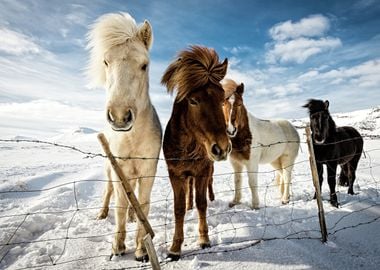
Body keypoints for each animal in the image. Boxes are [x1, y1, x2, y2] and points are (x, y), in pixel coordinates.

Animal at [86, 13, 162, 262]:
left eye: (144, 65)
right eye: (106, 62)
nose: (120, 117)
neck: (132, 138)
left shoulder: (148, 171)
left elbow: (143, 204)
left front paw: (141, 249)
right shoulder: (119, 169)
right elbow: (119, 205)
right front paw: (117, 247)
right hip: (110, 171)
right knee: (109, 193)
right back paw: (102, 214)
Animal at [161, 45, 230, 260]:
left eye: (222, 99)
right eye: (193, 101)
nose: (221, 147)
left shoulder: (202, 171)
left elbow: (202, 203)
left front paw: (204, 239)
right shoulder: (175, 174)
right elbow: (178, 208)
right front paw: (175, 248)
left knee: (209, 186)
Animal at [223, 78, 300, 209]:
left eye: (239, 104)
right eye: (222, 104)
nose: (230, 130)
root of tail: (292, 127)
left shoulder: (252, 163)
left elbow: (252, 182)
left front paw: (255, 205)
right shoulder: (236, 163)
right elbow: (237, 181)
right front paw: (235, 201)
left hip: (287, 159)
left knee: (287, 176)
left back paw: (285, 199)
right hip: (275, 160)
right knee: (282, 175)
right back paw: (284, 196)